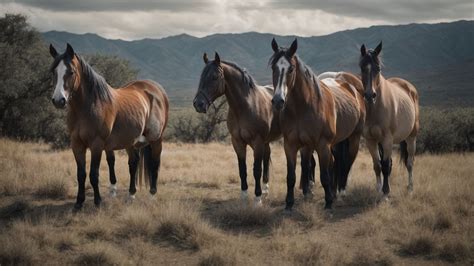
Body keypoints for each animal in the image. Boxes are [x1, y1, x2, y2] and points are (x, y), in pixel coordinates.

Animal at [49, 43, 168, 210]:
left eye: (71, 72)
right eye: (53, 71)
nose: (58, 100)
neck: (88, 107)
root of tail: (157, 90)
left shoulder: (97, 144)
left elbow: (94, 175)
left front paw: (98, 202)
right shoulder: (76, 144)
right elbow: (81, 174)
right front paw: (79, 203)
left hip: (156, 140)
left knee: (155, 164)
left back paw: (152, 195)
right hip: (130, 141)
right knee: (133, 163)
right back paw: (131, 195)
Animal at [193, 52, 314, 205]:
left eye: (214, 77)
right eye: (202, 76)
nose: (198, 104)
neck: (245, 106)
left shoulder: (257, 142)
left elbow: (256, 169)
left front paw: (257, 199)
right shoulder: (238, 142)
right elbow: (242, 169)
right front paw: (244, 197)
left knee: (308, 163)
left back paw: (309, 189)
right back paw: (269, 190)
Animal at [268, 39, 364, 210]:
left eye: (291, 69)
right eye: (274, 67)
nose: (278, 101)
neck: (302, 108)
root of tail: (351, 87)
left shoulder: (322, 145)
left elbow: (324, 175)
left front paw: (328, 203)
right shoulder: (291, 145)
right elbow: (292, 176)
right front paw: (289, 203)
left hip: (354, 139)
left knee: (347, 164)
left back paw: (341, 192)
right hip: (333, 143)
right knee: (335, 163)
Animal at [360, 42, 418, 195]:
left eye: (378, 68)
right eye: (362, 67)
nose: (370, 95)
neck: (375, 109)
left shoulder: (387, 139)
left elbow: (385, 165)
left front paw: (386, 192)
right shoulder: (371, 140)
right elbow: (377, 165)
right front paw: (379, 189)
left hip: (411, 137)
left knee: (410, 163)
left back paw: (410, 187)